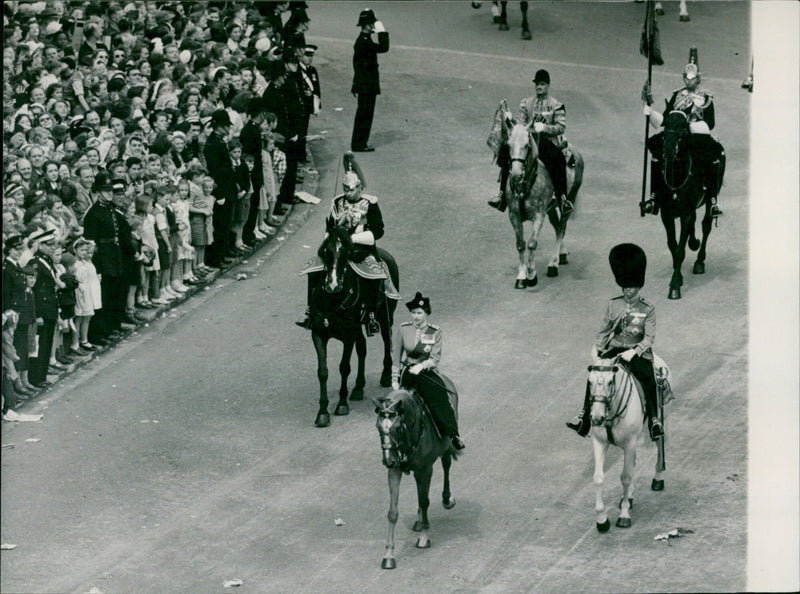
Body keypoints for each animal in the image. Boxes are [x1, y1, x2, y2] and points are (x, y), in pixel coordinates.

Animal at [310, 224, 400, 428]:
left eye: (346, 253)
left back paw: (385, 375)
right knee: (362, 349)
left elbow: (344, 367)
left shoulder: (348, 335)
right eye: (325, 251)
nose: (333, 285)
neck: (333, 301)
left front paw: (341, 404)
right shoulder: (319, 334)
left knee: (386, 340)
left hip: (385, 317)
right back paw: (359, 387)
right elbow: (322, 371)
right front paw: (322, 412)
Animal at [372, 384, 460, 568]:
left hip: (445, 448)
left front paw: (424, 538)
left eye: (397, 428)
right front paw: (389, 554)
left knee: (446, 465)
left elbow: (425, 501)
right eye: (378, 427)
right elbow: (393, 512)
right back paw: (419, 521)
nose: (387, 460)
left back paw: (446, 500)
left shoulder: (426, 469)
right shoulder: (395, 471)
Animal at [496, 103, 584, 288]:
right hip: (551, 209)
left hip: (568, 202)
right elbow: (521, 244)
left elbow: (532, 243)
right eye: (509, 145)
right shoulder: (514, 215)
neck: (526, 185)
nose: (516, 175)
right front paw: (521, 276)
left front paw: (531, 275)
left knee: (562, 228)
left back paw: (553, 264)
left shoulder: (538, 215)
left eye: (526, 145)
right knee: (557, 227)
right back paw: (561, 255)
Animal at [648, 109, 724, 298]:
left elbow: (679, 250)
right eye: (666, 124)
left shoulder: (686, 213)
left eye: (683, 127)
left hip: (710, 198)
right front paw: (679, 276)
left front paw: (675, 285)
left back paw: (699, 261)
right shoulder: (666, 214)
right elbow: (672, 245)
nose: (668, 149)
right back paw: (694, 242)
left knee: (706, 225)